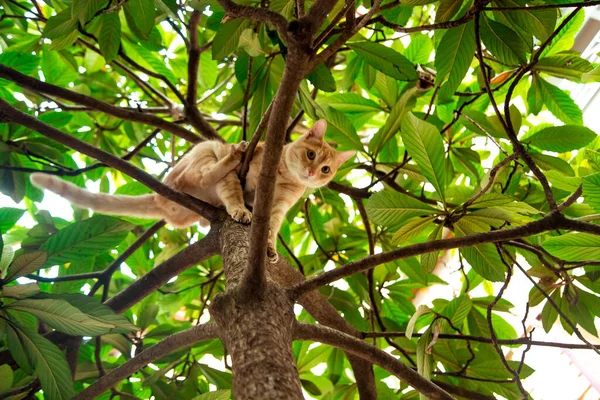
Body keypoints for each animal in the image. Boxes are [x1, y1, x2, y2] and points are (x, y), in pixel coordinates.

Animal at [30, 119, 354, 262]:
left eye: (326, 169)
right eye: (311, 155)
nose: (312, 173)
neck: (284, 176)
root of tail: (160, 197)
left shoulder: (278, 208)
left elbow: (271, 229)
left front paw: (270, 249)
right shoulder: (237, 180)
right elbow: (233, 193)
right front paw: (240, 210)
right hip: (205, 152)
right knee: (206, 174)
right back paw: (235, 153)